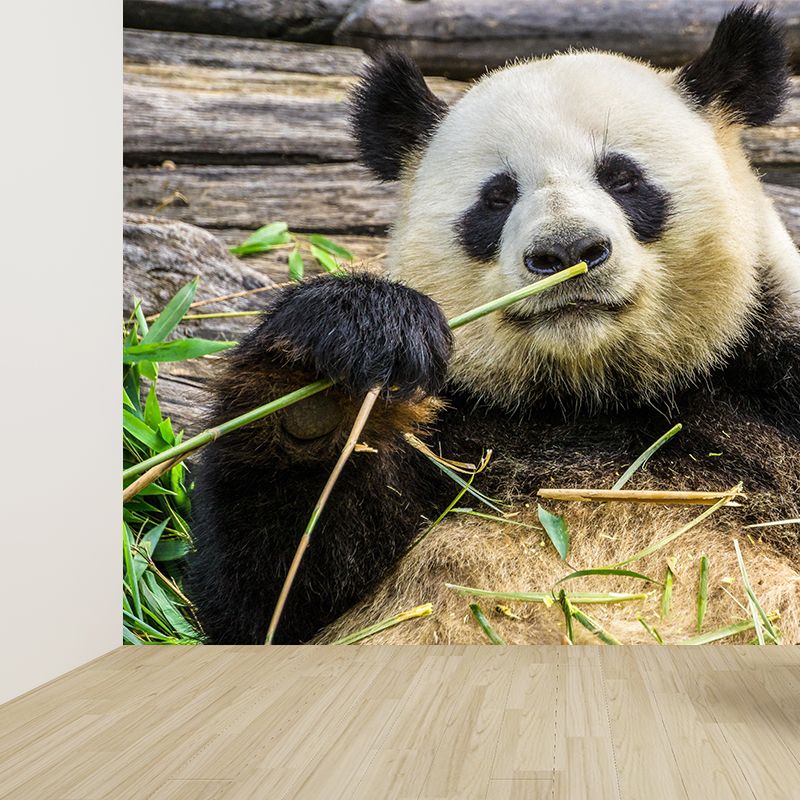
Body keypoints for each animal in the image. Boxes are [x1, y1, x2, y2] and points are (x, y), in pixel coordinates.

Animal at [186, 4, 800, 645]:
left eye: (622, 178)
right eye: (498, 197)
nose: (566, 252)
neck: (587, 397)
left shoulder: (771, 384)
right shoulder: (452, 434)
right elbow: (271, 591)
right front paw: (332, 377)